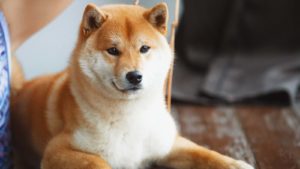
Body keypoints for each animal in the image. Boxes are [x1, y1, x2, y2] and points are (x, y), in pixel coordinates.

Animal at [12, 2, 255, 169]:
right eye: (113, 50)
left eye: (144, 48)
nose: (135, 76)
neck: (131, 115)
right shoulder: (59, 149)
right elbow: (99, 164)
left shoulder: (168, 144)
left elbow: (204, 153)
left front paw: (235, 163)